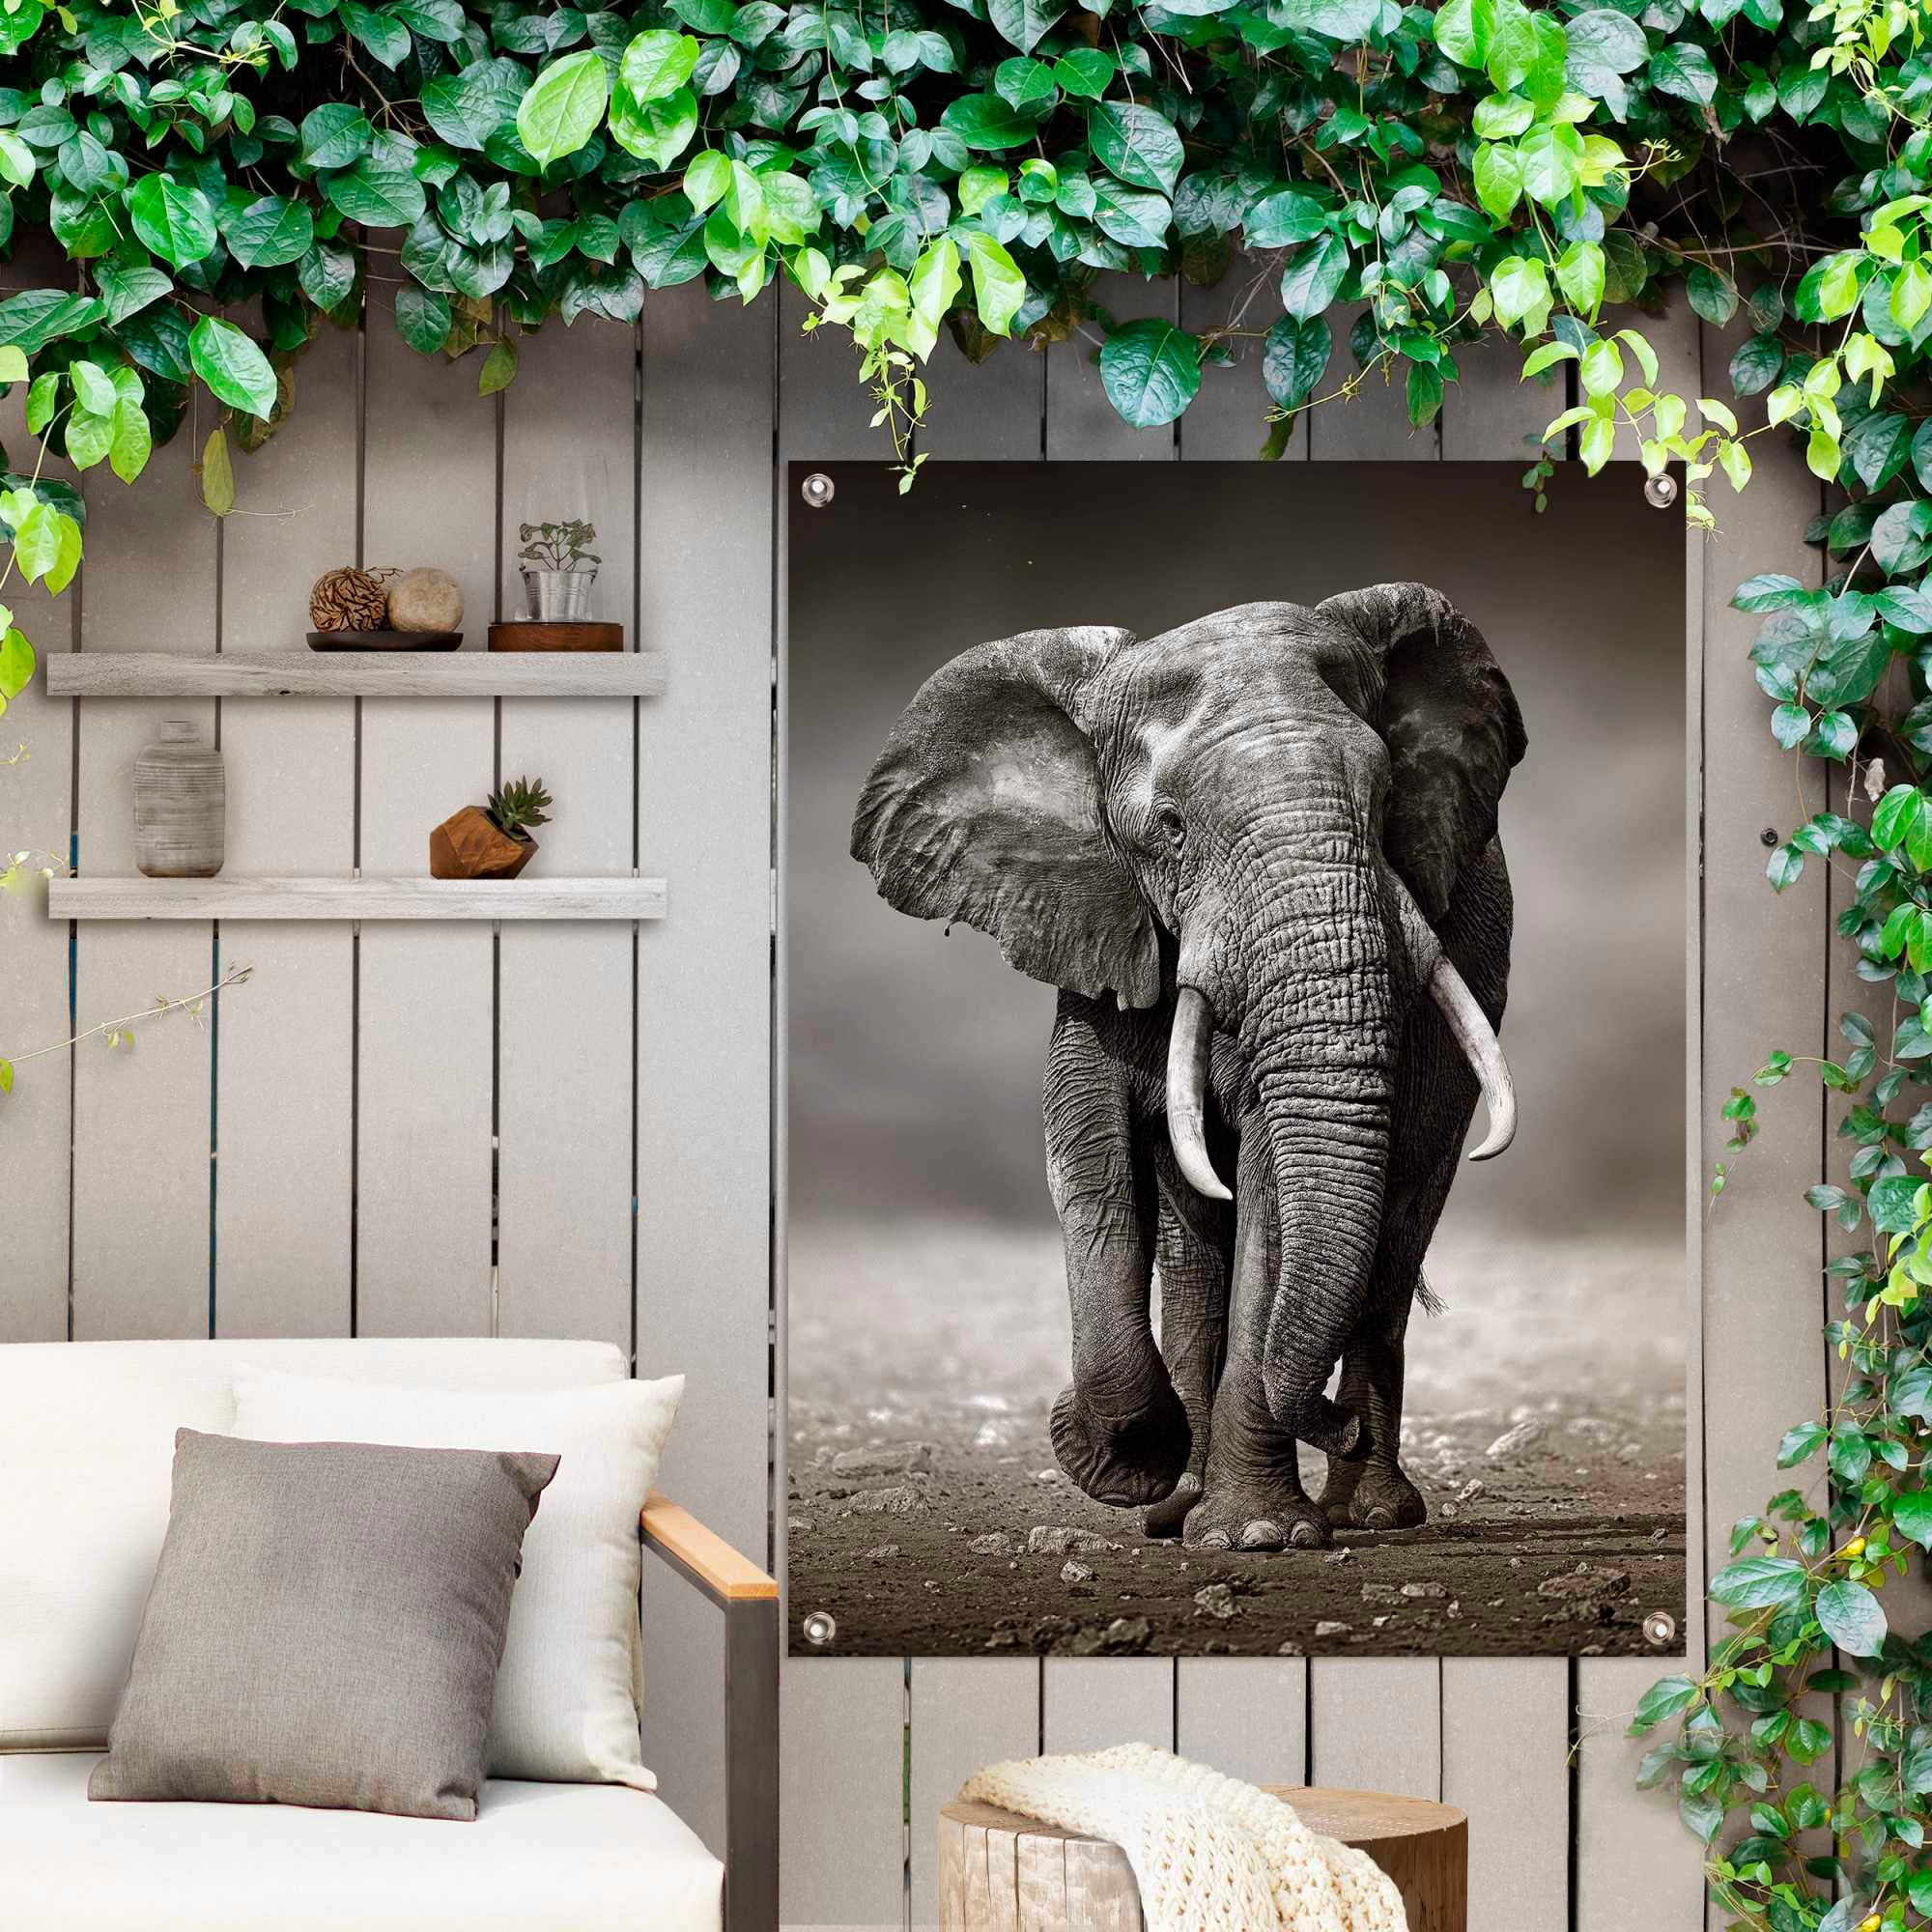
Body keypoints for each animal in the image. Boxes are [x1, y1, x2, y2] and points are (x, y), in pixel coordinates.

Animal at [848, 587, 1525, 1551]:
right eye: (1168, 828)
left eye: (1390, 797)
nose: (1334, 1424)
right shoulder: (1095, 922)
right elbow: (1087, 1157)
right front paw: (1128, 1462)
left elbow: (1274, 1186)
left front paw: (1258, 1536)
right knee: (1197, 1250)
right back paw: (1181, 1505)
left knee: (1396, 1238)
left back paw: (1368, 1513)